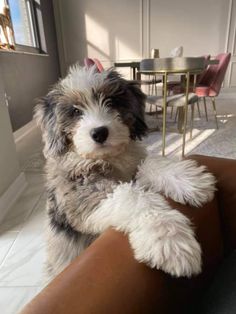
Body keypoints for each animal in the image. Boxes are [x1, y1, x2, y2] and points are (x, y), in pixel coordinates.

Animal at [35, 64, 216, 282]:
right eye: (75, 111)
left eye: (111, 102)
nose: (99, 133)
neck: (107, 158)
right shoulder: (80, 194)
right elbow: (133, 196)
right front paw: (168, 238)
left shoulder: (132, 167)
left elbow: (150, 163)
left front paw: (190, 180)